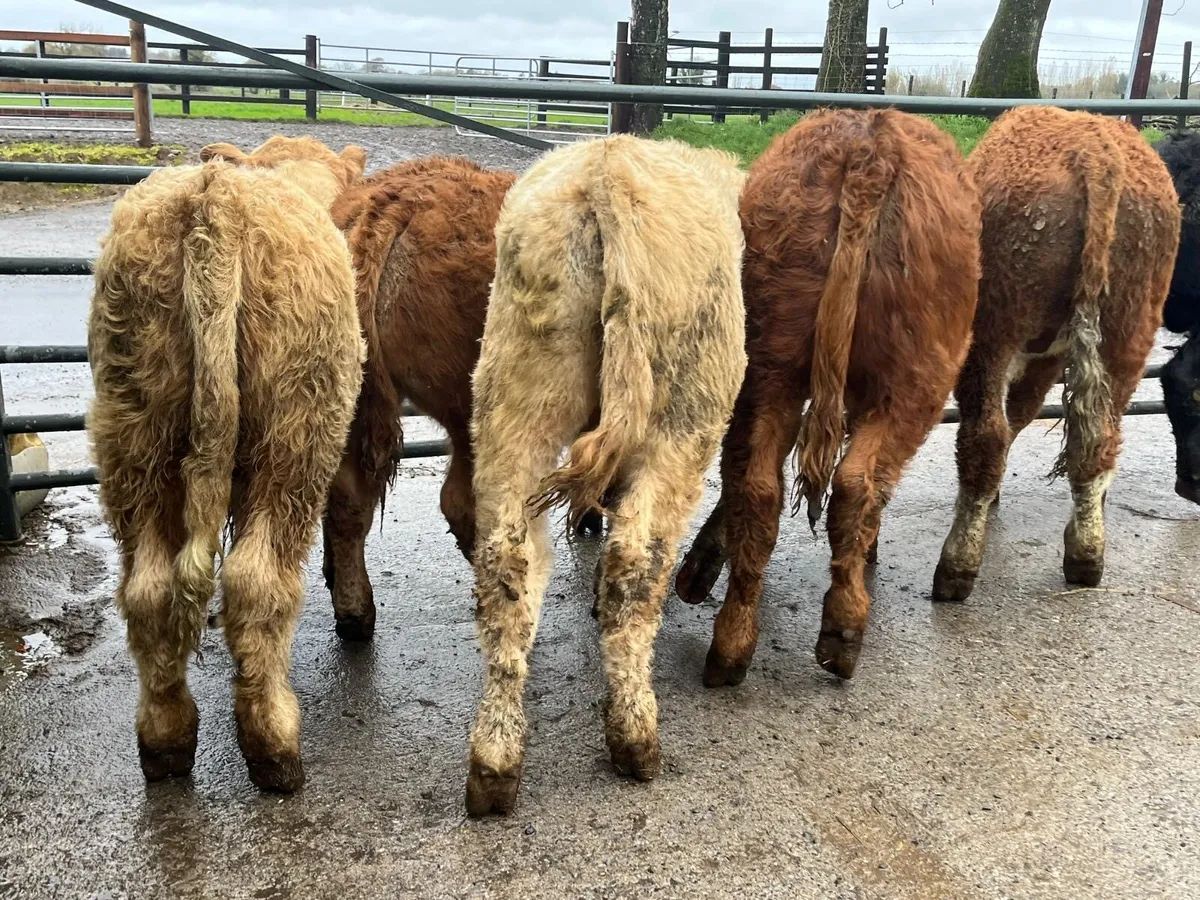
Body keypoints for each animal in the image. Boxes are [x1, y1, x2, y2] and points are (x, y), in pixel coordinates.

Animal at [88, 135, 367, 793]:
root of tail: (213, 199)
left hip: (132, 431)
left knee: (148, 589)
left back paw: (165, 742)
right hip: (296, 437)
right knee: (256, 581)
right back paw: (275, 745)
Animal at [464, 135, 747, 816]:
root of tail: (609, 169)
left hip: (516, 401)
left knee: (508, 562)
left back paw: (493, 763)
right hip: (682, 422)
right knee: (637, 561)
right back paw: (636, 739)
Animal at [675, 108, 982, 683]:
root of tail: (871, 143)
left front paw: (700, 570)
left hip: (769, 369)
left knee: (758, 486)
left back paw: (731, 646)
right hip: (911, 388)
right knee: (857, 484)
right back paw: (843, 632)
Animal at [933, 106, 1180, 599]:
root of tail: (1094, 151)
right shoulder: (1046, 360)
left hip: (994, 334)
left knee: (985, 437)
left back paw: (956, 568)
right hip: (1127, 339)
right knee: (1099, 441)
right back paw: (1086, 554)